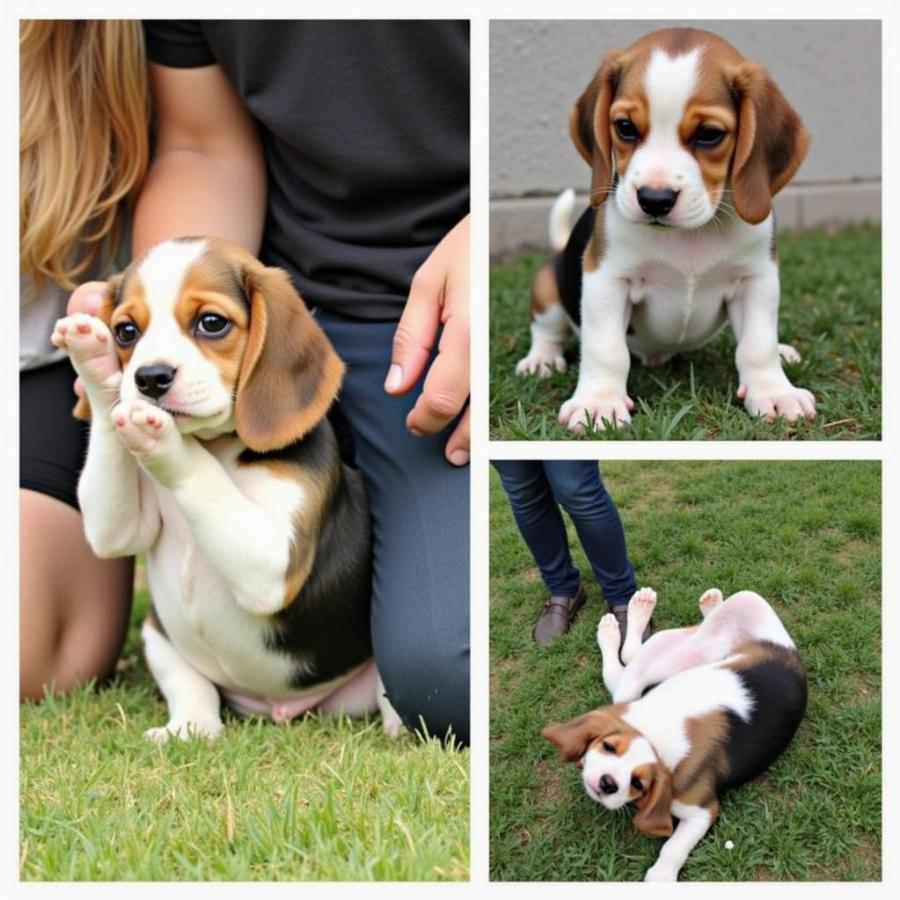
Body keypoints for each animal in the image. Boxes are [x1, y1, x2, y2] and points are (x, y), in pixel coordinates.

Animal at [51, 236, 400, 740]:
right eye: (126, 332)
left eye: (211, 323)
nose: (149, 377)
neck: (214, 444)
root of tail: (280, 708)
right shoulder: (122, 528)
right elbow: (114, 522)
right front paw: (94, 366)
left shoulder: (275, 561)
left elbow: (197, 472)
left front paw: (159, 435)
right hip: (159, 633)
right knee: (195, 696)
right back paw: (187, 728)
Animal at [512, 29, 816, 430]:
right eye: (625, 127)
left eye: (709, 134)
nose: (654, 199)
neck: (689, 236)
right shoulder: (607, 279)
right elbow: (607, 349)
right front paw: (598, 403)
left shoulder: (757, 279)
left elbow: (756, 345)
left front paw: (774, 391)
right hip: (548, 284)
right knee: (547, 329)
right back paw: (542, 359)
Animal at [540, 588, 808, 884]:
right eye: (608, 747)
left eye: (639, 784)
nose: (608, 783)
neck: (653, 737)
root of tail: (790, 652)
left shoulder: (701, 810)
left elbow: (674, 846)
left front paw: (661, 876)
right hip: (711, 630)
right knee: (635, 657)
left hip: (715, 630)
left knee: (630, 665)